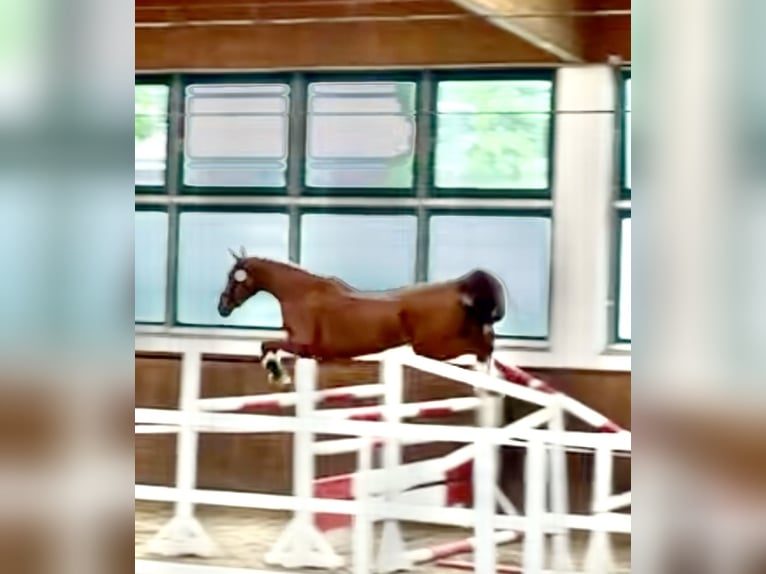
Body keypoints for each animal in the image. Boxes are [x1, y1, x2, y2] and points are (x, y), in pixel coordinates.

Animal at [217, 247, 507, 387]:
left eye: (233, 277)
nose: (223, 307)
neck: (300, 294)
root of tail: (459, 288)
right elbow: (268, 346)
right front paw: (277, 374)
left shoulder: (304, 346)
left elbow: (267, 345)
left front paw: (278, 375)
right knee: (485, 339)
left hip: (431, 348)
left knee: (482, 345)